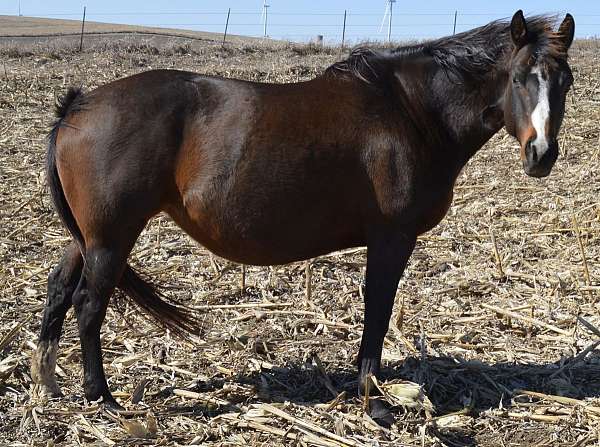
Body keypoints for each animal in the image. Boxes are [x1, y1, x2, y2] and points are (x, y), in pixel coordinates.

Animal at [32, 9, 576, 424]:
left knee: (60, 287)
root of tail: (78, 105)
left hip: (90, 237)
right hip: (111, 238)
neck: (411, 112)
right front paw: (372, 399)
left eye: (566, 82)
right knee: (88, 304)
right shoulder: (392, 237)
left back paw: (48, 381)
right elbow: (378, 311)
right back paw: (100, 396)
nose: (542, 155)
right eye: (520, 78)